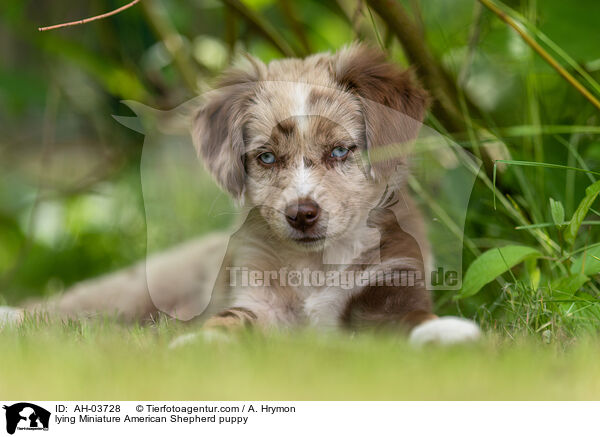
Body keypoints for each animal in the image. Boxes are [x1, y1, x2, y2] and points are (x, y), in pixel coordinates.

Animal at [0, 44, 478, 344]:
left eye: (340, 151)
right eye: (265, 157)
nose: (301, 214)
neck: (317, 265)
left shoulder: (391, 287)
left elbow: (412, 317)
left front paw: (446, 331)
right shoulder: (257, 298)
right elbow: (226, 323)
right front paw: (196, 345)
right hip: (142, 288)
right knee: (76, 309)